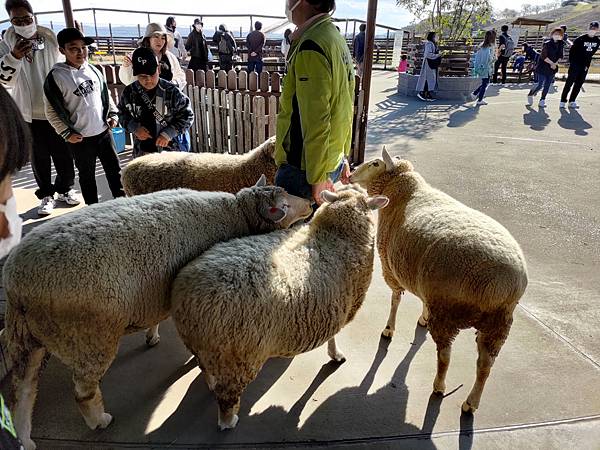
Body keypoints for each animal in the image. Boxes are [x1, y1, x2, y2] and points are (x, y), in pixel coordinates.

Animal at [3, 177, 314, 450]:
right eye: (285, 204)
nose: (311, 203)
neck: (237, 212)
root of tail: (17, 282)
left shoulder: (157, 295)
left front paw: (152, 335)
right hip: (88, 336)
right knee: (81, 391)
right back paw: (99, 420)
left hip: (25, 335)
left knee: (22, 389)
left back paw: (24, 438)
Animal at [171, 185, 392, 428]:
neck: (336, 235)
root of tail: (187, 297)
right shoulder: (342, 306)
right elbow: (334, 334)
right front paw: (335, 354)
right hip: (238, 356)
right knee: (227, 397)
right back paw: (229, 420)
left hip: (206, 347)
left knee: (205, 368)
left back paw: (210, 383)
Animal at [350, 148, 528, 414]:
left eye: (374, 163)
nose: (350, 173)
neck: (402, 191)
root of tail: (500, 285)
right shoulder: (423, 280)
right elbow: (420, 302)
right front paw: (422, 317)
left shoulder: (391, 269)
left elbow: (395, 300)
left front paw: (389, 329)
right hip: (498, 322)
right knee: (485, 364)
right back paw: (470, 403)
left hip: (448, 310)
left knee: (445, 356)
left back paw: (439, 386)